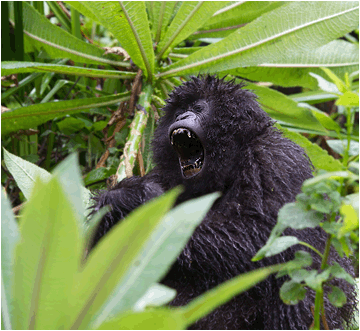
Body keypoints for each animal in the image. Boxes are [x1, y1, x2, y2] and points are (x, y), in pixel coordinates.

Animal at [89, 77, 354, 330]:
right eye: (179, 111)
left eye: (198, 108)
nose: (182, 117)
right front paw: (115, 203)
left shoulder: (275, 160)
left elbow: (262, 238)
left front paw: (134, 199)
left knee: (296, 277)